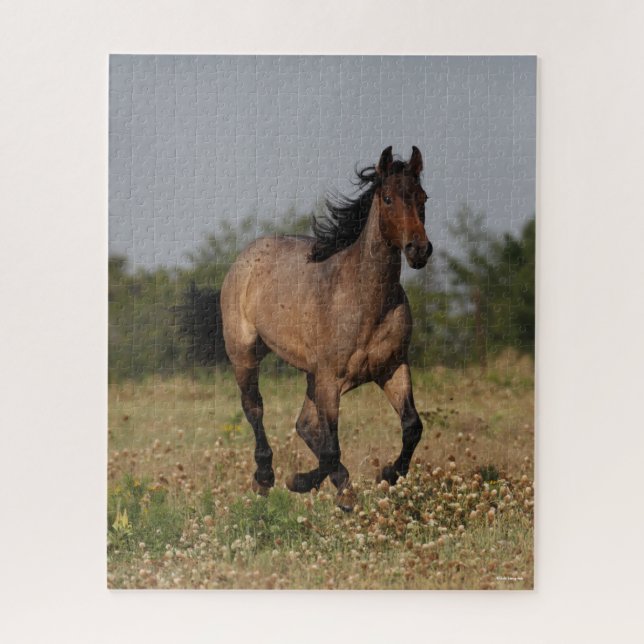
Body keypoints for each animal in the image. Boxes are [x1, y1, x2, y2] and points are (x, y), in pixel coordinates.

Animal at [220, 146, 432, 510]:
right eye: (388, 198)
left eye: (423, 197)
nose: (419, 250)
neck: (365, 301)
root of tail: (246, 256)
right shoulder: (331, 379)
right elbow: (331, 447)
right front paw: (306, 483)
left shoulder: (391, 368)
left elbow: (412, 427)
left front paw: (388, 474)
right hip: (245, 354)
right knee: (255, 408)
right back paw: (265, 478)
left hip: (311, 375)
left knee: (304, 424)